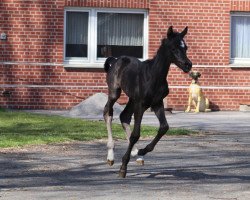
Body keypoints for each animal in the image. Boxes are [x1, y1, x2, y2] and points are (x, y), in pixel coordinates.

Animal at [102, 25, 192, 177]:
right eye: (173, 48)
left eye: (185, 47)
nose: (188, 65)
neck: (154, 76)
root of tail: (115, 60)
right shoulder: (141, 104)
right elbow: (136, 134)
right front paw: (123, 167)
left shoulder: (157, 103)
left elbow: (164, 127)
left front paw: (141, 151)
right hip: (115, 92)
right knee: (108, 113)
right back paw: (111, 156)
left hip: (132, 99)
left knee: (124, 116)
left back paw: (136, 154)